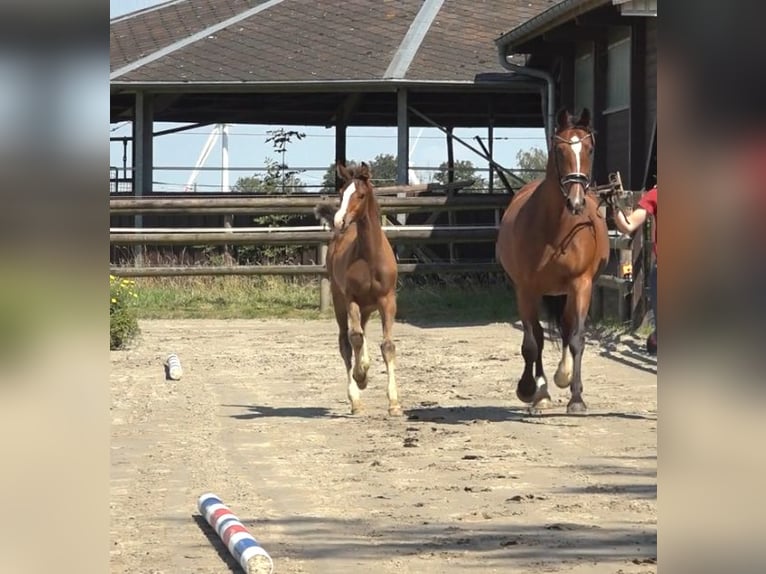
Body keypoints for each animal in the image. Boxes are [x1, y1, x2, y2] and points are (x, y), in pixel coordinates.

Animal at [316, 162, 404, 418]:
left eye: (361, 195)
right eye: (340, 192)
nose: (339, 221)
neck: (369, 257)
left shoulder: (388, 300)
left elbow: (387, 346)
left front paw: (394, 403)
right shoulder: (351, 299)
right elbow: (354, 339)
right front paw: (361, 376)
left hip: (367, 307)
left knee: (362, 333)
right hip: (340, 301)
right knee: (346, 342)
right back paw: (355, 397)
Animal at [498, 108, 612, 414]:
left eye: (590, 148)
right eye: (559, 151)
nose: (576, 201)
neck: (555, 230)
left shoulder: (581, 285)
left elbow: (576, 337)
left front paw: (576, 398)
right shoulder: (526, 289)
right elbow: (532, 343)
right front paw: (530, 390)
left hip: (566, 292)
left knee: (566, 327)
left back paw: (564, 376)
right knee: (538, 336)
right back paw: (542, 391)